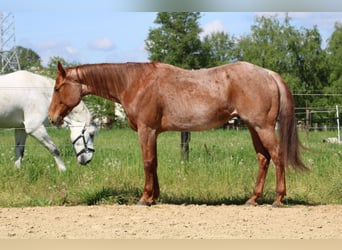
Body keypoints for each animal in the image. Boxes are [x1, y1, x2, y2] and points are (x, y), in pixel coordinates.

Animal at [48, 60, 308, 205]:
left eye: (58, 88)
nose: (52, 117)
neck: (135, 82)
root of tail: (268, 74)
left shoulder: (146, 130)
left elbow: (147, 162)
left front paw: (145, 198)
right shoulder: (154, 132)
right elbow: (154, 162)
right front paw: (154, 196)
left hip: (263, 127)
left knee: (277, 156)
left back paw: (278, 199)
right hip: (254, 127)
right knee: (263, 159)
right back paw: (253, 199)